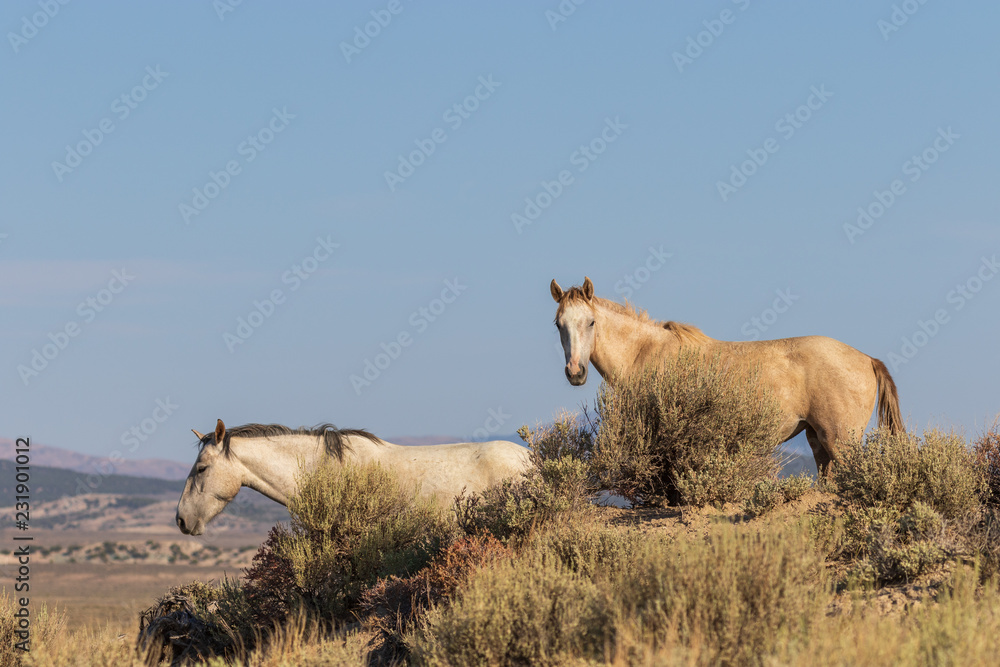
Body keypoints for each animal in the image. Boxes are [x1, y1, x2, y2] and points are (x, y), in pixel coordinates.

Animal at [549, 277, 903, 474]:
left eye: (591, 322)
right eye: (559, 324)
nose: (575, 372)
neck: (645, 353)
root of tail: (867, 359)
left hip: (841, 441)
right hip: (818, 440)